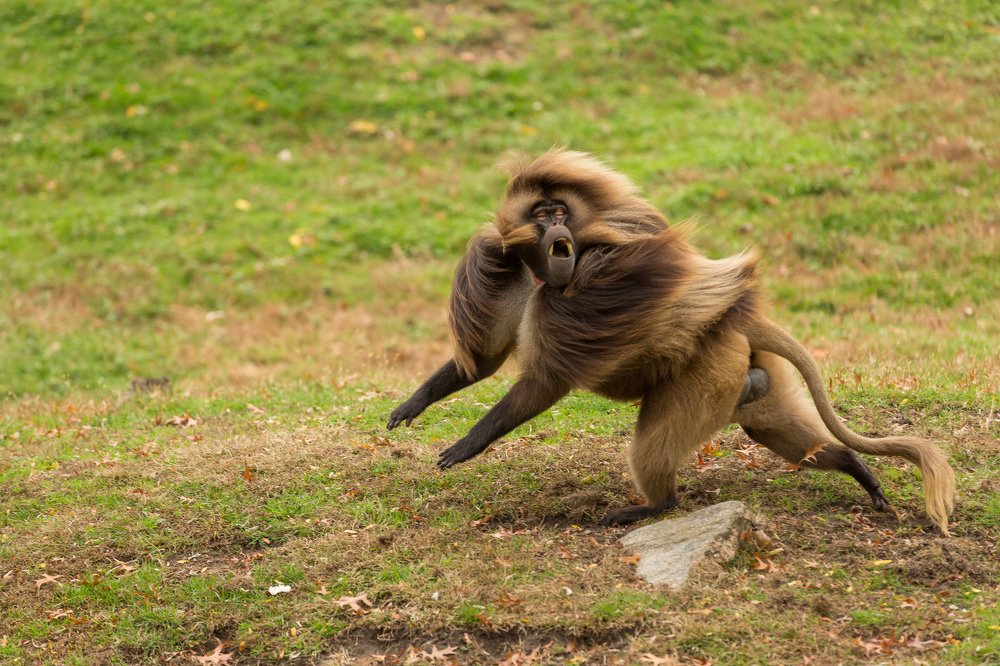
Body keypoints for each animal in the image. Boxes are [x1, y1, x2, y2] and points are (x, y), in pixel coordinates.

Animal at [387, 149, 956, 534]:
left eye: (560, 213)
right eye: (541, 215)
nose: (557, 229)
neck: (544, 277)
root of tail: (736, 317)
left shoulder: (584, 294)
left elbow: (547, 382)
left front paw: (467, 444)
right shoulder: (508, 273)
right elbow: (483, 362)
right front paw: (415, 403)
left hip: (707, 371)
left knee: (655, 451)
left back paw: (648, 507)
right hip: (740, 370)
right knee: (771, 429)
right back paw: (856, 469)